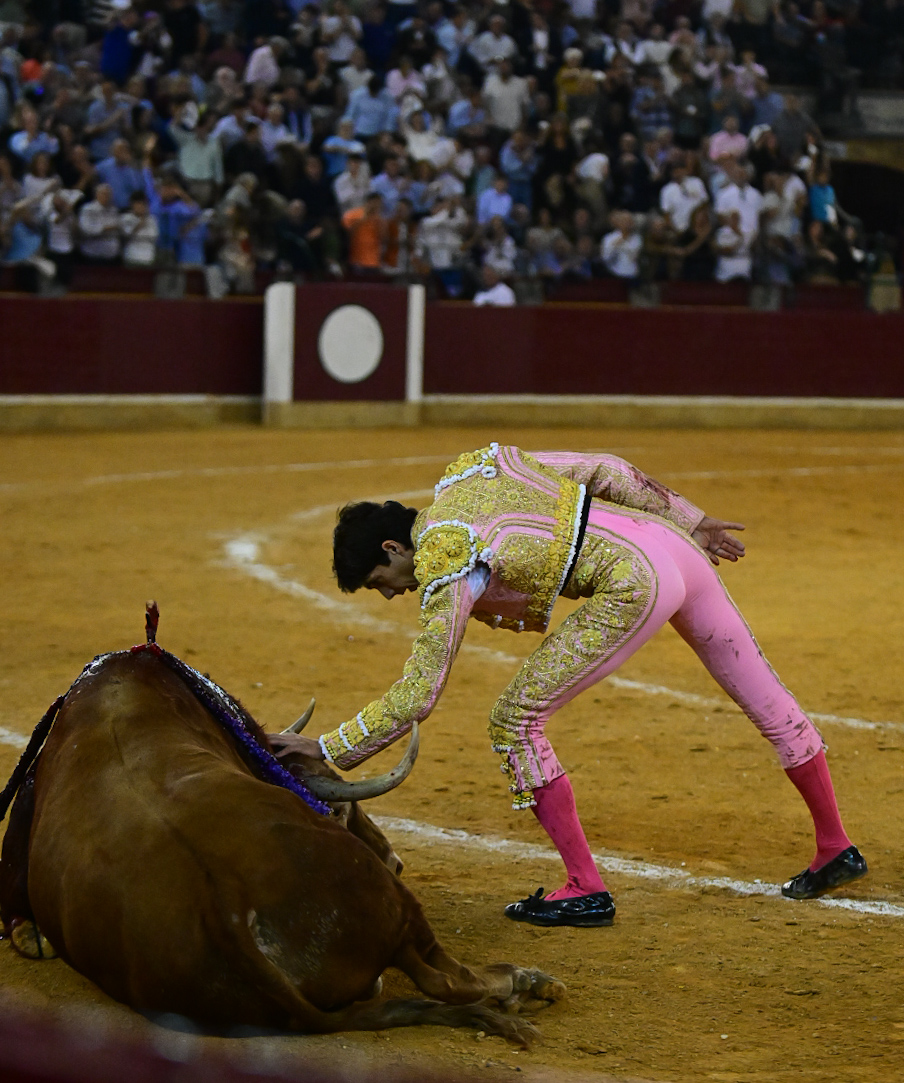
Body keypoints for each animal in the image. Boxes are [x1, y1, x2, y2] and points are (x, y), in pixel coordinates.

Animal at [0, 606, 564, 1043]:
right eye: (341, 810)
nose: (394, 859)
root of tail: (226, 913)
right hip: (396, 908)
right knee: (446, 980)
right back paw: (528, 984)